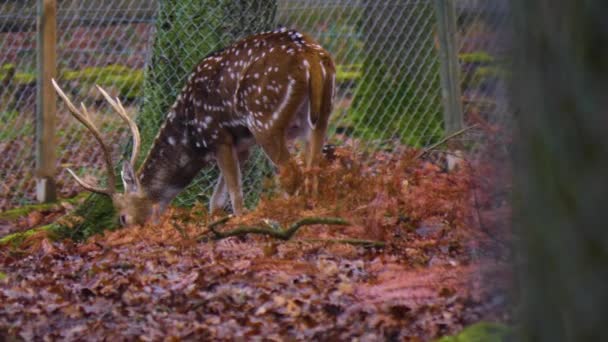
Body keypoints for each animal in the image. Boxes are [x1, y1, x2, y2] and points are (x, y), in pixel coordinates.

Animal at [51, 28, 338, 227]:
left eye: (123, 217)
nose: (127, 234)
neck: (189, 137)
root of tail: (311, 56)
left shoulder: (218, 136)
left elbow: (233, 196)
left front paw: (237, 224)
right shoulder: (242, 145)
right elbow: (216, 201)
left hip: (265, 118)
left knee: (292, 172)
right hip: (320, 114)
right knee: (314, 166)